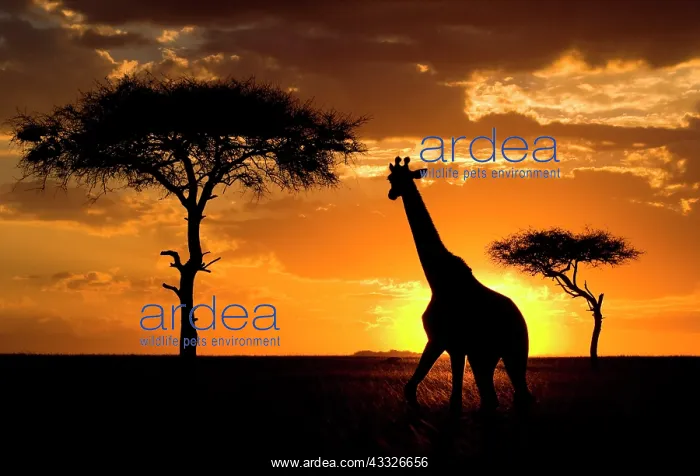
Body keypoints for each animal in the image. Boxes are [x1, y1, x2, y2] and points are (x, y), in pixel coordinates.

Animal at [387, 156, 534, 416]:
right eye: (391, 178)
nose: (391, 194)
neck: (438, 280)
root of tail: (521, 318)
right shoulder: (454, 345)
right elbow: (447, 395)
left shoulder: (443, 340)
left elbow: (430, 393)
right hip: (486, 354)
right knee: (492, 398)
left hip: (513, 349)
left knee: (519, 395)